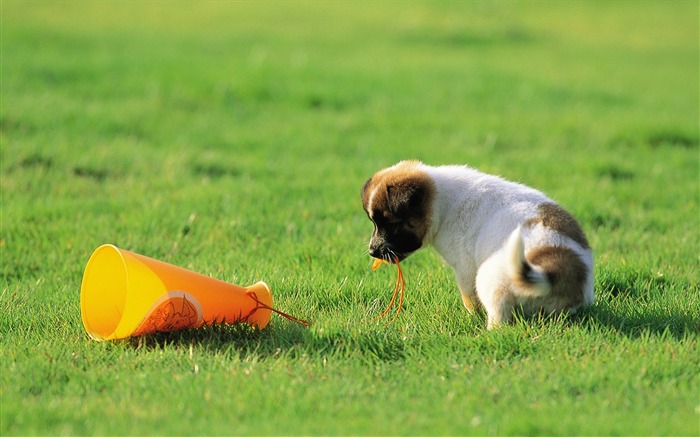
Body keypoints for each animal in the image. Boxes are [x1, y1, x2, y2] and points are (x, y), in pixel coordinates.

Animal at [364, 159, 592, 328]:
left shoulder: (465, 269)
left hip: (488, 278)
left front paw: (472, 316)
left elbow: (469, 297)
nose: (372, 251)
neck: (441, 202)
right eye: (374, 222)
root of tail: (556, 272)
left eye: (391, 224)